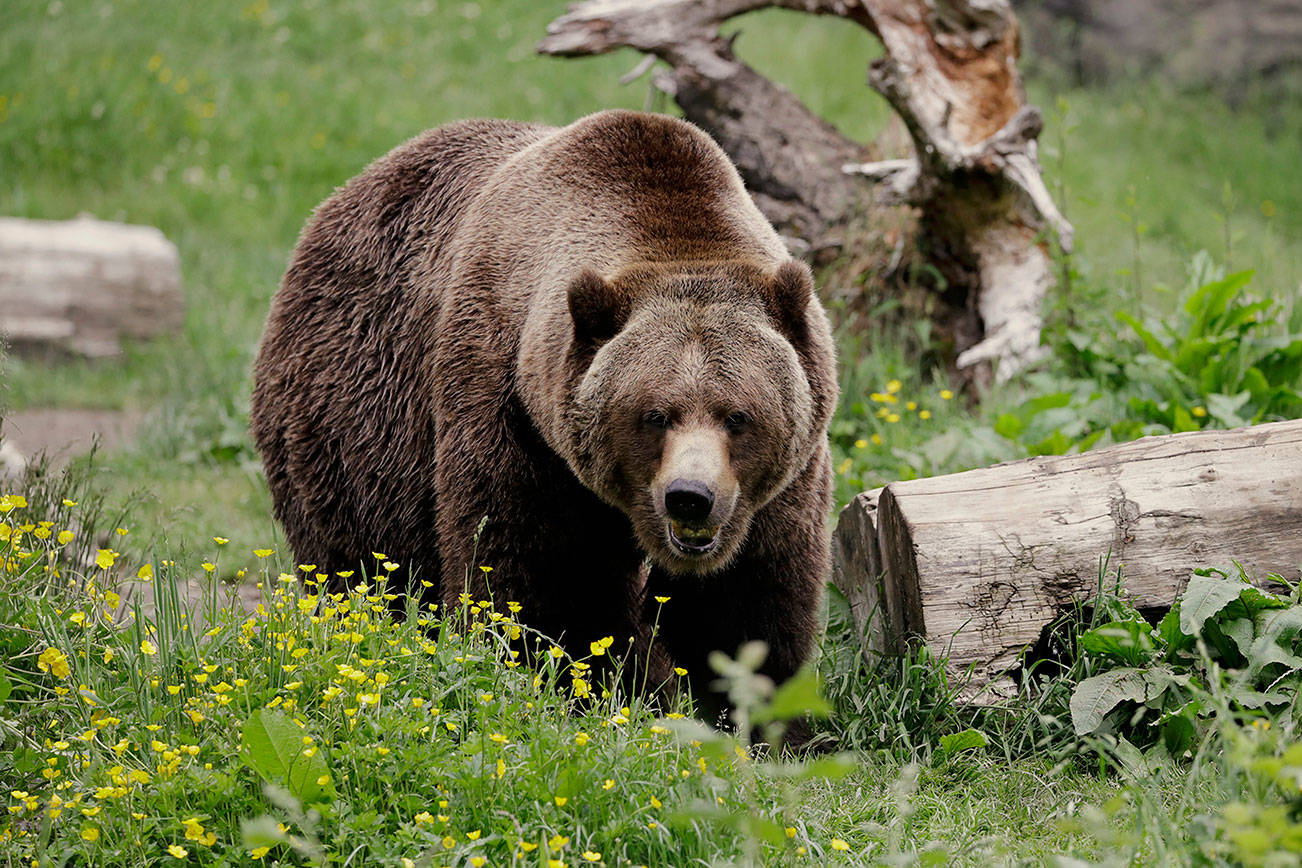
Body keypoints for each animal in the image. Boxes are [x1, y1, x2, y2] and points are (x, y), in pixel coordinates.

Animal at [250, 110, 838, 713]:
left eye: (737, 415)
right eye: (654, 415)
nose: (690, 497)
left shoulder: (780, 483)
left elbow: (748, 605)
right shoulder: (513, 412)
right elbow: (537, 579)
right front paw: (573, 683)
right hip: (355, 418)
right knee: (364, 561)